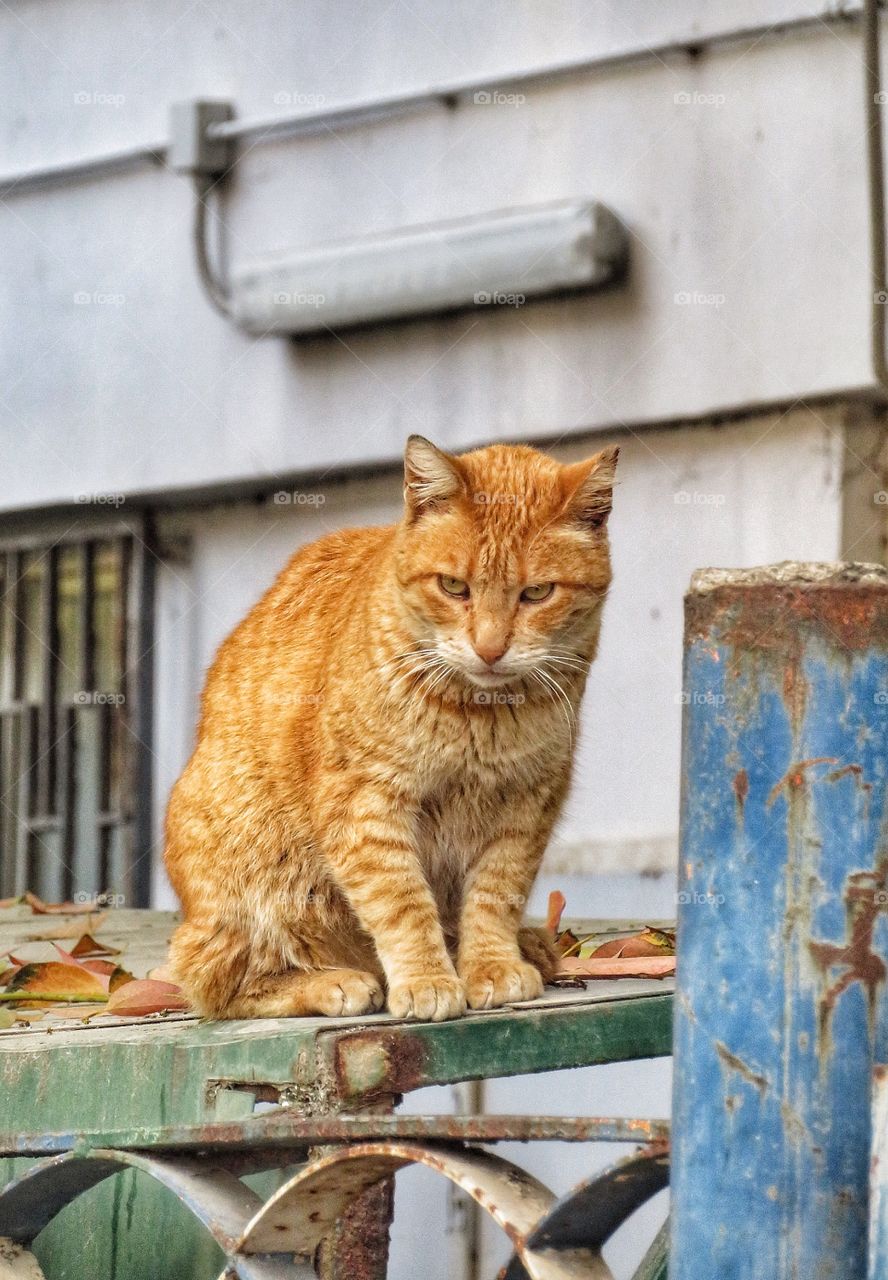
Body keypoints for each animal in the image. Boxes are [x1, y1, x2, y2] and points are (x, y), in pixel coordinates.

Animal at [166, 437, 621, 1018]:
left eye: (537, 593)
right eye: (454, 587)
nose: (490, 648)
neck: (481, 716)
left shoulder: (525, 806)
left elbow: (495, 895)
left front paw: (490, 964)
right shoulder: (366, 802)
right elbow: (402, 902)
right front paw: (428, 978)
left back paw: (529, 946)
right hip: (255, 873)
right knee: (222, 982)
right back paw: (335, 982)